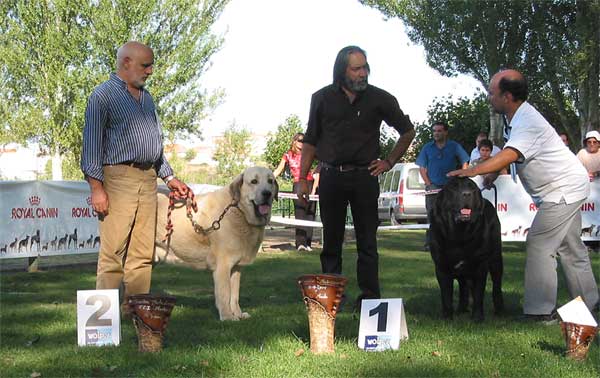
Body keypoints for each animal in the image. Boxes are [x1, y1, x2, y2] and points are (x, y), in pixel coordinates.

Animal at [428, 177, 504, 322]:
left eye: (472, 188)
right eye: (453, 187)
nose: (467, 194)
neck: (459, 235)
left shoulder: (480, 266)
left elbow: (479, 293)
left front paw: (478, 318)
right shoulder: (441, 267)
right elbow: (446, 294)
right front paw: (447, 317)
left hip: (495, 259)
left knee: (496, 285)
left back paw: (499, 310)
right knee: (464, 286)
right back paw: (461, 309)